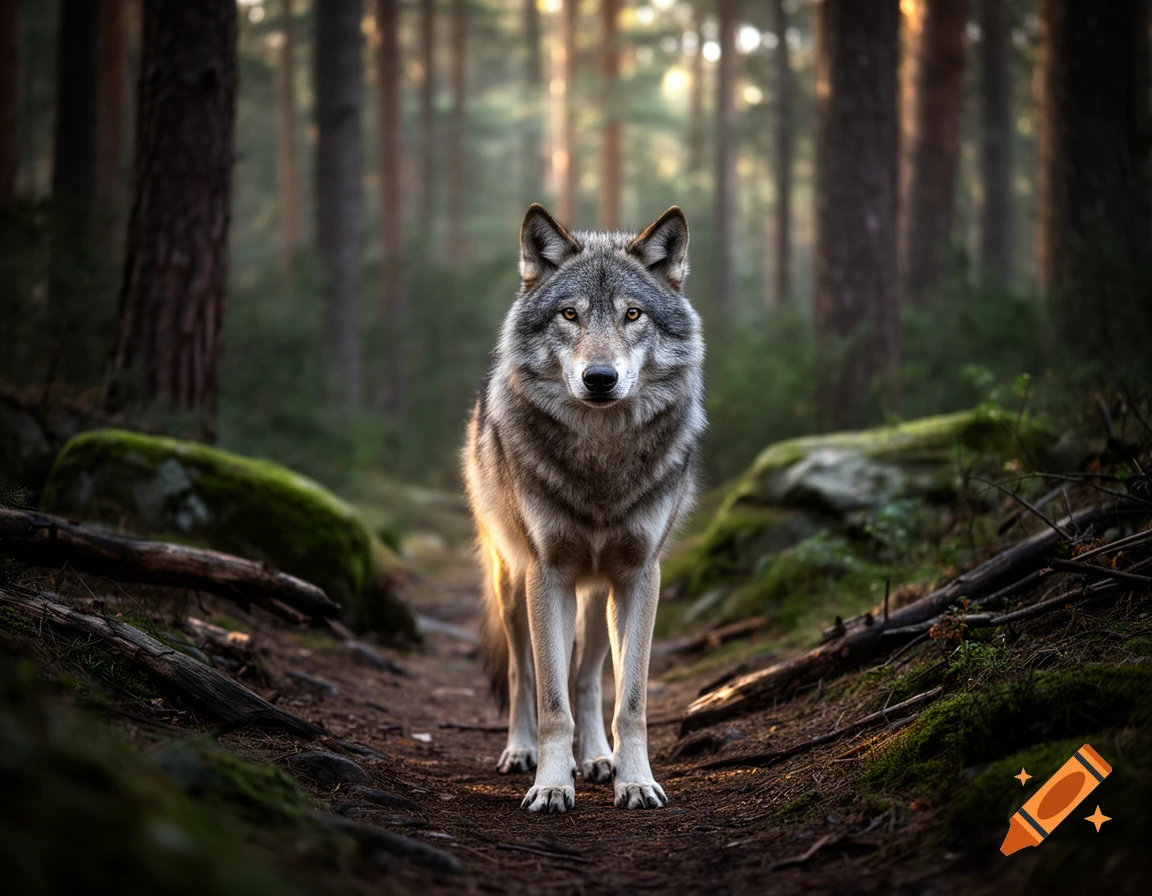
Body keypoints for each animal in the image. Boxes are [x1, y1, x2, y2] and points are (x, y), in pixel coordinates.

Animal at [462, 203, 706, 813]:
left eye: (632, 315)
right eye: (570, 314)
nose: (600, 378)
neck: (601, 462)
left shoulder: (640, 575)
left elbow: (629, 700)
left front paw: (634, 780)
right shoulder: (547, 575)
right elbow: (551, 701)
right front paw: (550, 784)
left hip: (599, 596)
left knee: (590, 678)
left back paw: (598, 758)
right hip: (512, 585)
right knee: (525, 675)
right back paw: (521, 753)